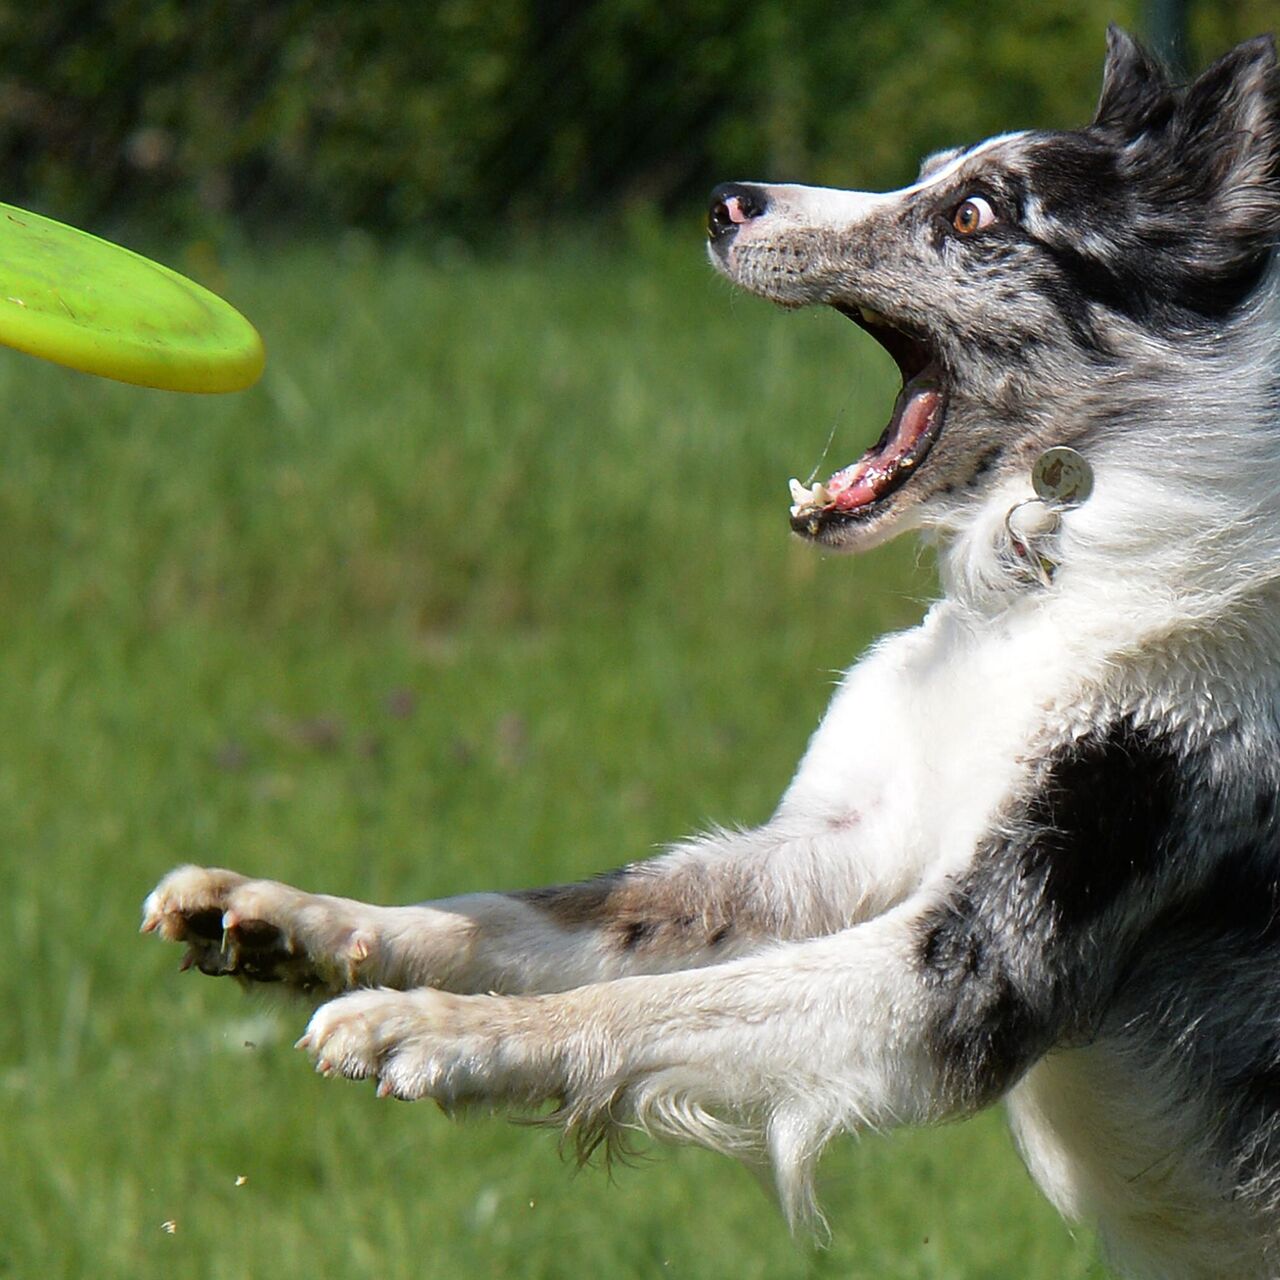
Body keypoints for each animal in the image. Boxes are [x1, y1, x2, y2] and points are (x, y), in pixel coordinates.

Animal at [145, 30, 1280, 1280]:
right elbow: (538, 915)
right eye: (929, 170)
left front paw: (438, 1027)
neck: (1052, 571)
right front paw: (293, 918)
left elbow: (642, 1007)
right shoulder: (829, 848)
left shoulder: (963, 964)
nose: (724, 198)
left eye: (974, 213)